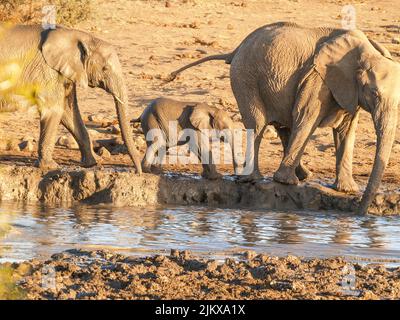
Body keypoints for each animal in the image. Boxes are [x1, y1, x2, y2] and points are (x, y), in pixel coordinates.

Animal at [0, 25, 142, 174]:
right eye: (105, 68)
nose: (138, 172)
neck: (78, 37)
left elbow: (68, 112)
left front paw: (92, 163)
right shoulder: (46, 71)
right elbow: (54, 110)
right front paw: (51, 167)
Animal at [169, 21, 400, 212]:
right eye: (374, 93)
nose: (360, 214)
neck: (367, 53)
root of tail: (235, 50)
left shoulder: (347, 89)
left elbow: (346, 131)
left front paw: (347, 190)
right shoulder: (318, 80)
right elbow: (306, 117)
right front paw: (286, 183)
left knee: (283, 126)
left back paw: (304, 175)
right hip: (245, 78)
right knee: (258, 124)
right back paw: (256, 179)